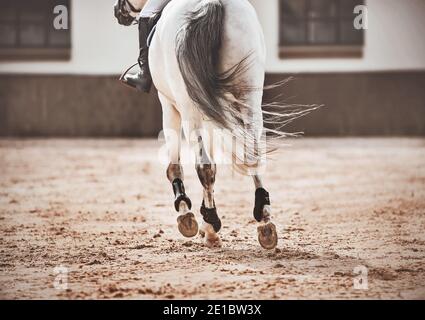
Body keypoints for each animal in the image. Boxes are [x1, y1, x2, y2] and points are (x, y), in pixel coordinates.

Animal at [115, 0, 278, 250]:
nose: (118, 11)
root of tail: (210, 4)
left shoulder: (169, 104)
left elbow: (175, 165)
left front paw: (187, 213)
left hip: (188, 106)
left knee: (204, 167)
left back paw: (210, 223)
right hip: (249, 97)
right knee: (252, 156)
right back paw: (264, 221)